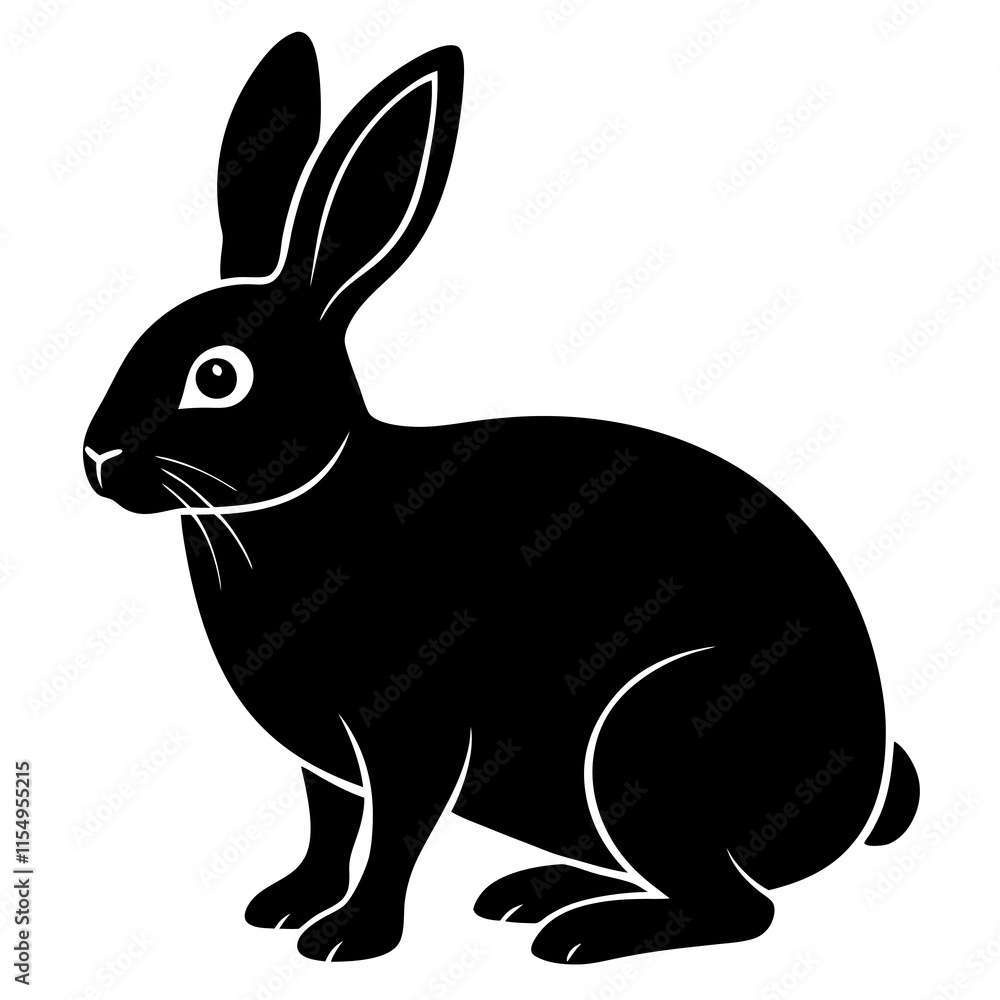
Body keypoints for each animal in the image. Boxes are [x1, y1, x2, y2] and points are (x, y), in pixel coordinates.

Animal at [83, 32, 920, 964]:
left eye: (218, 377)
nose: (98, 458)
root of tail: (865, 786)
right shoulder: (322, 757)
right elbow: (329, 824)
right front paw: (285, 903)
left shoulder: (414, 730)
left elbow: (396, 833)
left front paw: (349, 939)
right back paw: (534, 894)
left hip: (647, 743)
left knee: (740, 909)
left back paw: (580, 936)